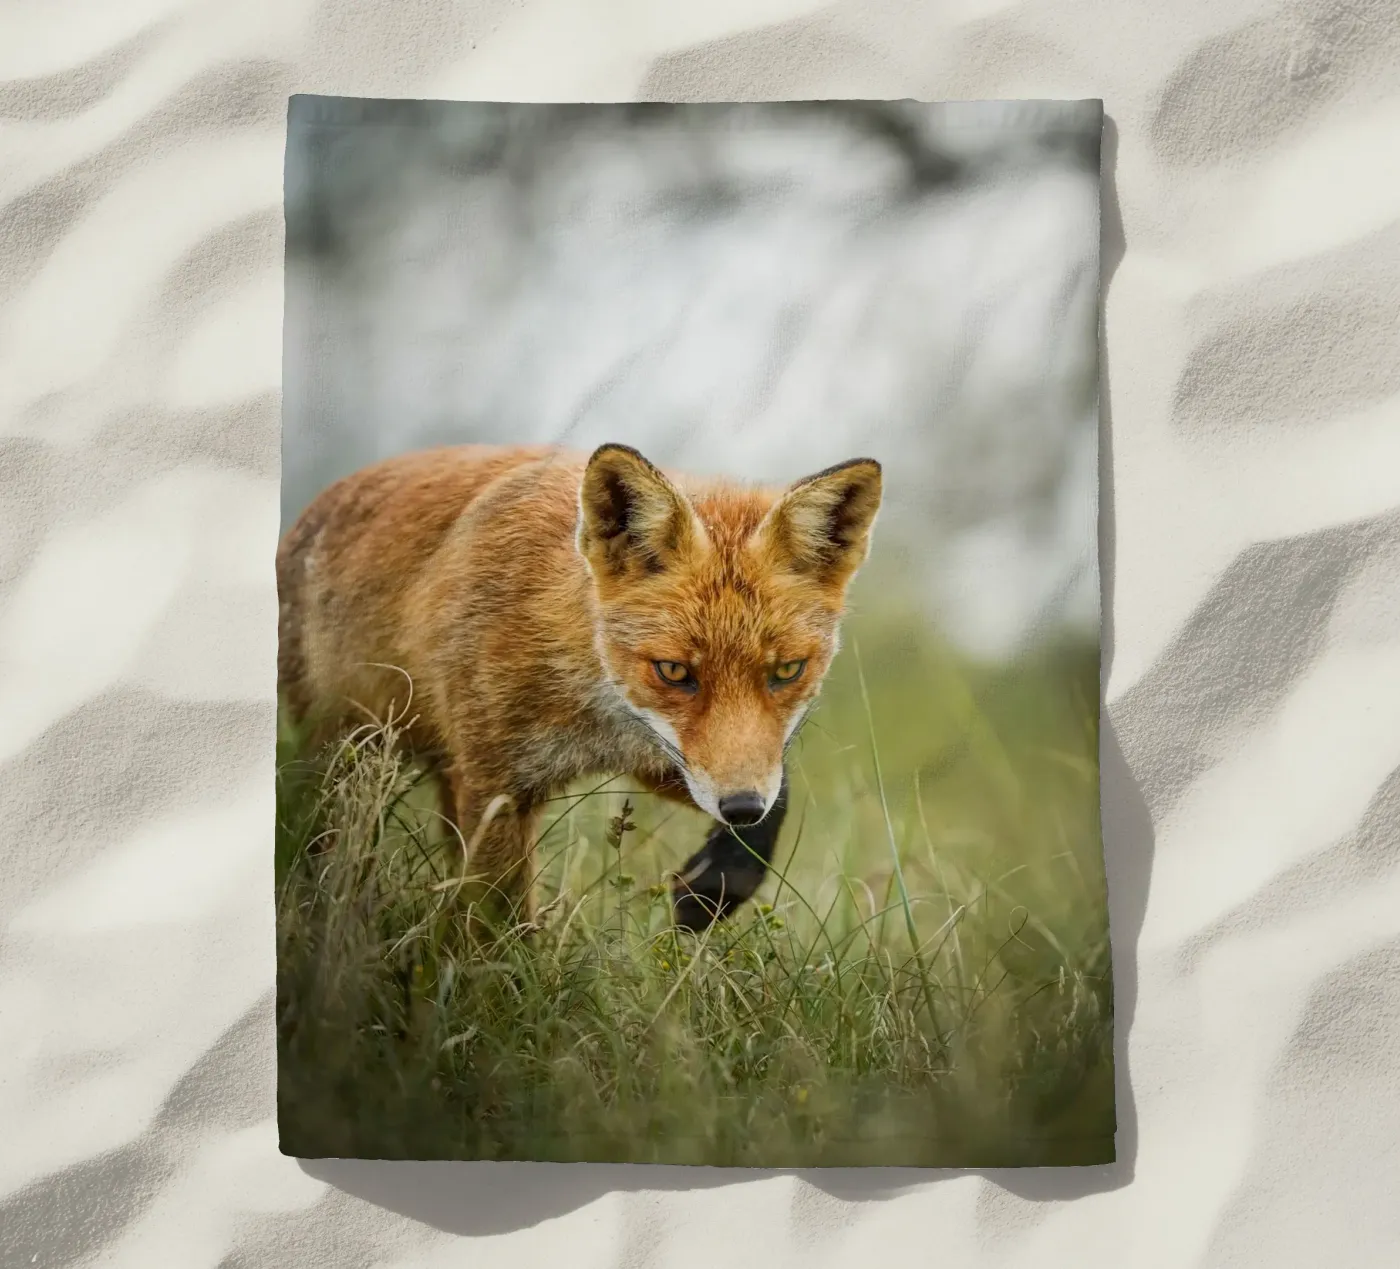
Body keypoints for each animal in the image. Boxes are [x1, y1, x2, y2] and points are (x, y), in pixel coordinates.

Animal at [276, 442, 882, 932]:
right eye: (674, 672)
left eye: (787, 671)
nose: (739, 808)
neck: (589, 705)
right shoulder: (498, 786)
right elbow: (498, 922)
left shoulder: (663, 757)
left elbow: (778, 801)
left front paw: (707, 893)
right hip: (348, 761)